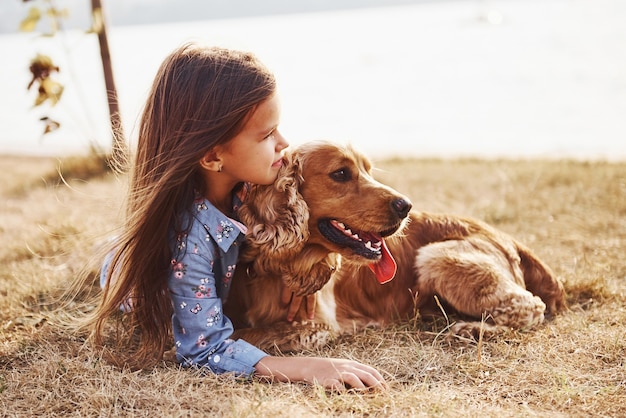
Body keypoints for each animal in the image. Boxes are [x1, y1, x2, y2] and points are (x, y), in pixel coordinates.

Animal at [225, 141, 564, 352]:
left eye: (368, 170)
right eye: (340, 173)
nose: (406, 206)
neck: (278, 266)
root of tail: (508, 239)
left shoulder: (319, 325)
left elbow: (251, 334)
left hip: (438, 258)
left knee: (529, 306)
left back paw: (473, 330)